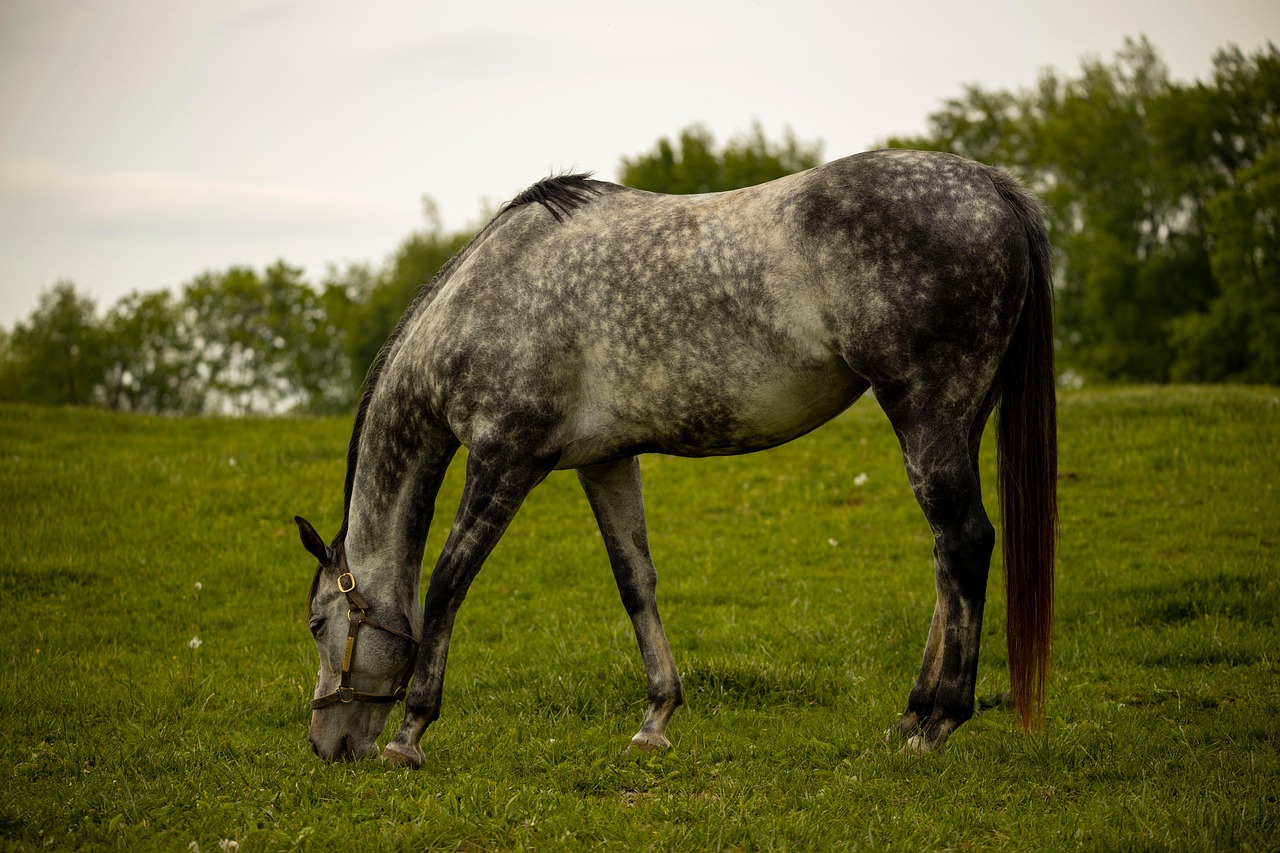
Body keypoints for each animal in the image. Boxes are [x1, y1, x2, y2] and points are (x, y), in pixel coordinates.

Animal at [294, 148, 1058, 767]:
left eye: (317, 624)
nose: (327, 746)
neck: (490, 298)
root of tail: (990, 186)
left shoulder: (504, 459)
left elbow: (448, 582)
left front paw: (411, 731)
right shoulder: (603, 462)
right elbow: (636, 581)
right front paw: (655, 719)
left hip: (924, 413)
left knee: (963, 542)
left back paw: (938, 724)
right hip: (958, 419)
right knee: (945, 555)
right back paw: (911, 715)